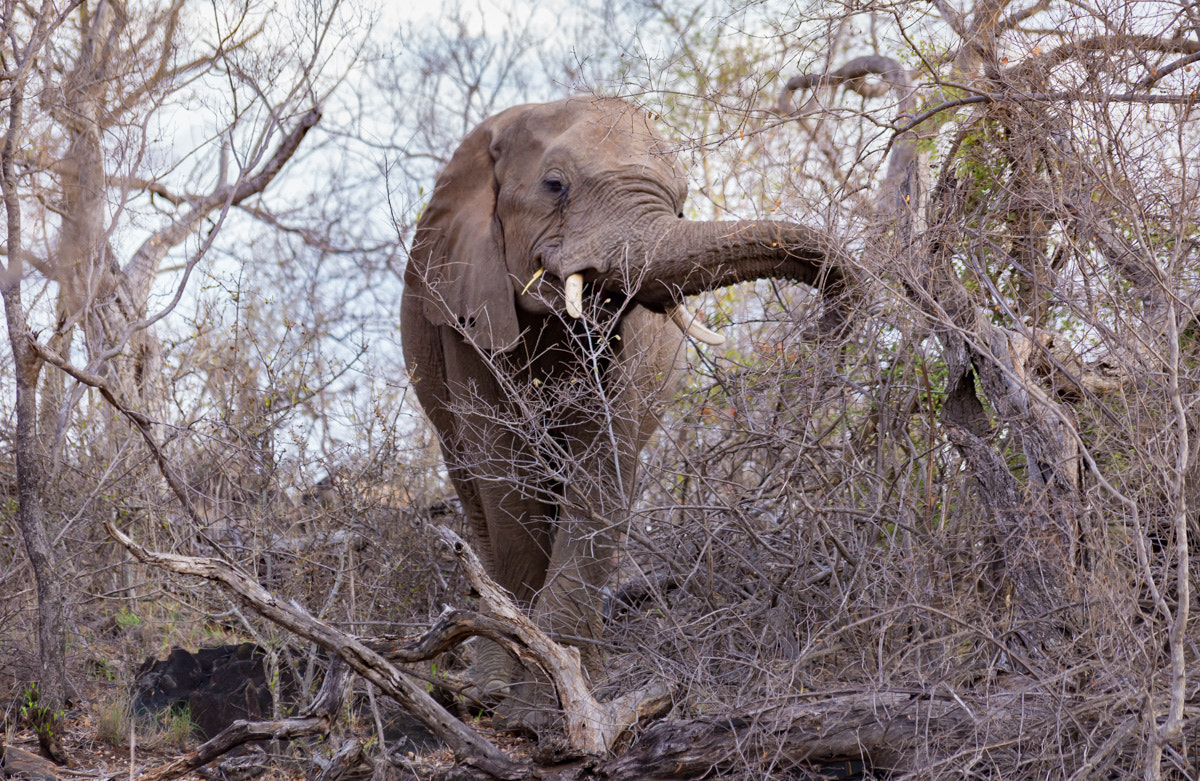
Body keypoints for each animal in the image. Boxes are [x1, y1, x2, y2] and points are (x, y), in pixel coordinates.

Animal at [400, 97, 843, 721]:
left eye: (681, 204)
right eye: (555, 185)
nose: (823, 328)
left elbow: (603, 467)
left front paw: (548, 711)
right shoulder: (466, 309)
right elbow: (507, 478)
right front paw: (523, 705)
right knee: (475, 496)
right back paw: (484, 692)